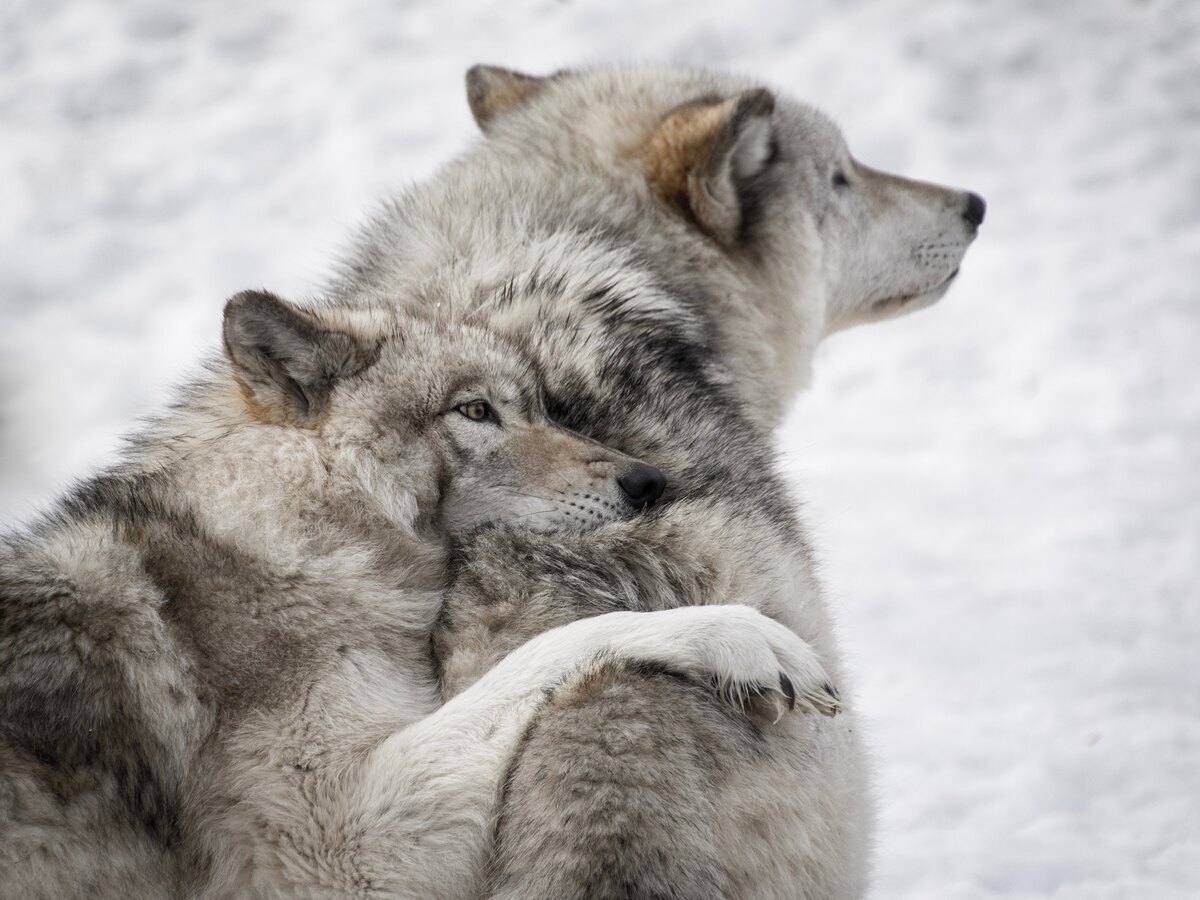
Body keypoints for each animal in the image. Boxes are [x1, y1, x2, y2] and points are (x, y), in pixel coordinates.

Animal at [0, 292, 840, 897]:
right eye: (475, 411)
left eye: (540, 407)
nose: (647, 482)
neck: (287, 536)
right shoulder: (339, 851)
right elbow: (554, 645)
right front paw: (740, 637)